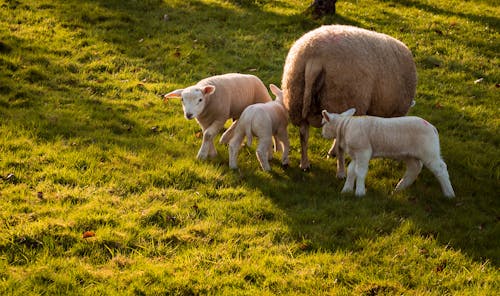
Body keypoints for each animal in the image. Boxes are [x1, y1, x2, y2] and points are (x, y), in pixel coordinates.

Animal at [322, 107, 456, 198]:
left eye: (323, 123)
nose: (322, 134)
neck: (344, 126)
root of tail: (432, 127)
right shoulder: (357, 154)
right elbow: (351, 170)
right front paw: (347, 190)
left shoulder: (363, 151)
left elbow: (360, 172)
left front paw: (360, 192)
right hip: (409, 154)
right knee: (415, 167)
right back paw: (399, 188)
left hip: (429, 151)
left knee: (440, 168)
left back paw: (449, 194)